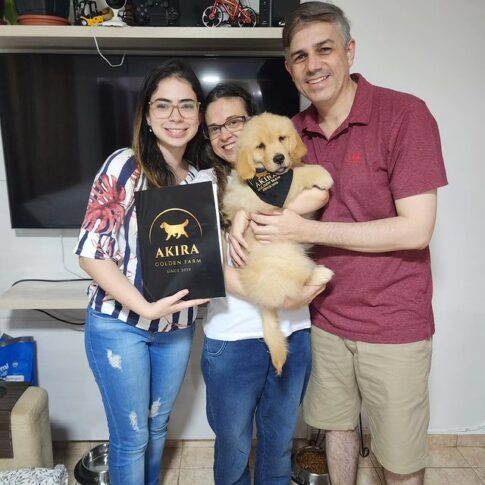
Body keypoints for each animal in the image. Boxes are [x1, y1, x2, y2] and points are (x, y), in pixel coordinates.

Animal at [223, 112, 334, 375]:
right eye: (260, 146)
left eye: (282, 139)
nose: (279, 158)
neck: (263, 176)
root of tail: (260, 298)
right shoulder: (264, 200)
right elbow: (297, 175)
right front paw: (321, 174)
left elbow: (296, 169)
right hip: (289, 257)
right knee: (296, 285)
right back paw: (321, 274)